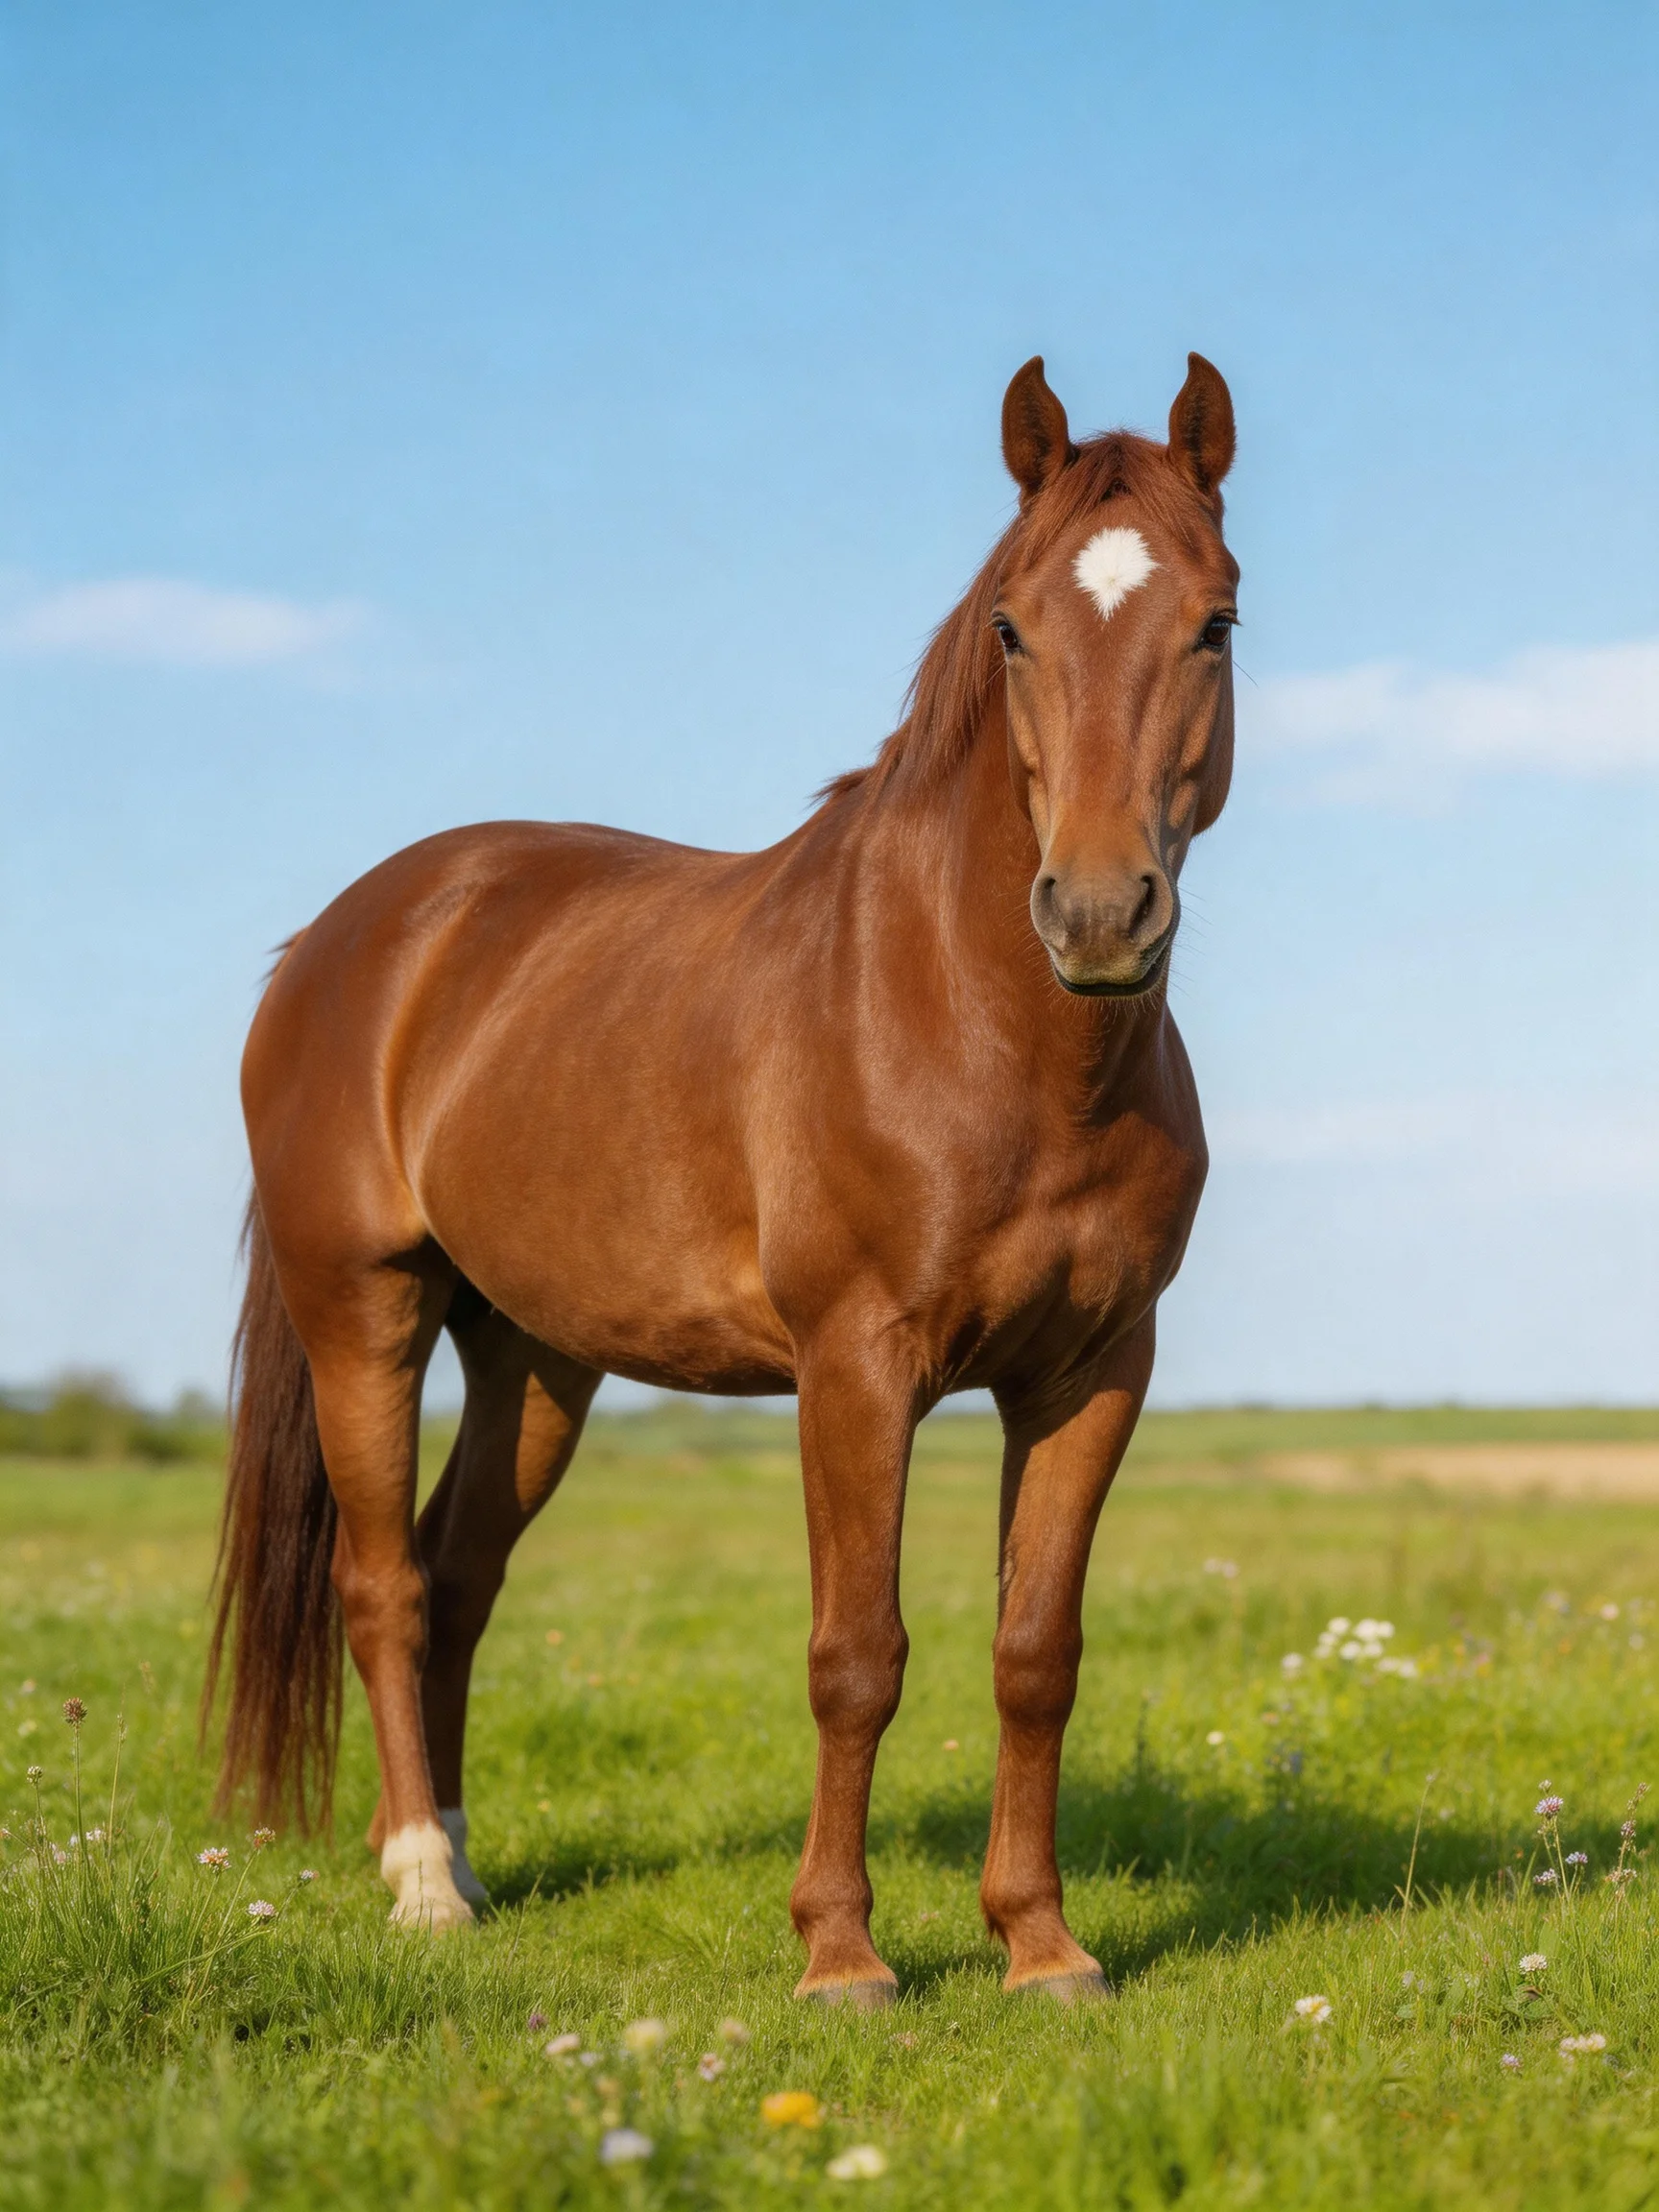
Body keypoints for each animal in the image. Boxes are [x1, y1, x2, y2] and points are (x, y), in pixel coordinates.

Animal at [206, 351, 1238, 2006]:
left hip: (535, 1362)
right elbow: (856, 1655)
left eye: (1215, 622)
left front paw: (1042, 1946)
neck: (983, 1029)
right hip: (361, 1311)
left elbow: (1036, 1655)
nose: (1095, 915)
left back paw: (462, 1862)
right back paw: (422, 1883)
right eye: (1012, 626)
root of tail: (346, 939)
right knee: (385, 1585)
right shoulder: (857, 1367)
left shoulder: (1092, 1372)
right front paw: (842, 1956)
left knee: (456, 1578)